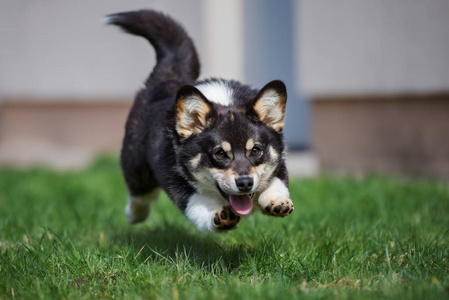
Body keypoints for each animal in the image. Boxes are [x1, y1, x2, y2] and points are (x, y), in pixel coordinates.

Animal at [105, 8, 294, 231]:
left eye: (256, 150)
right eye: (220, 154)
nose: (245, 183)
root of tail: (166, 80)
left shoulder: (279, 160)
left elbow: (277, 181)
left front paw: (277, 201)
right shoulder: (176, 177)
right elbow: (198, 203)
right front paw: (219, 215)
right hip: (137, 168)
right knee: (140, 196)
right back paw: (133, 215)